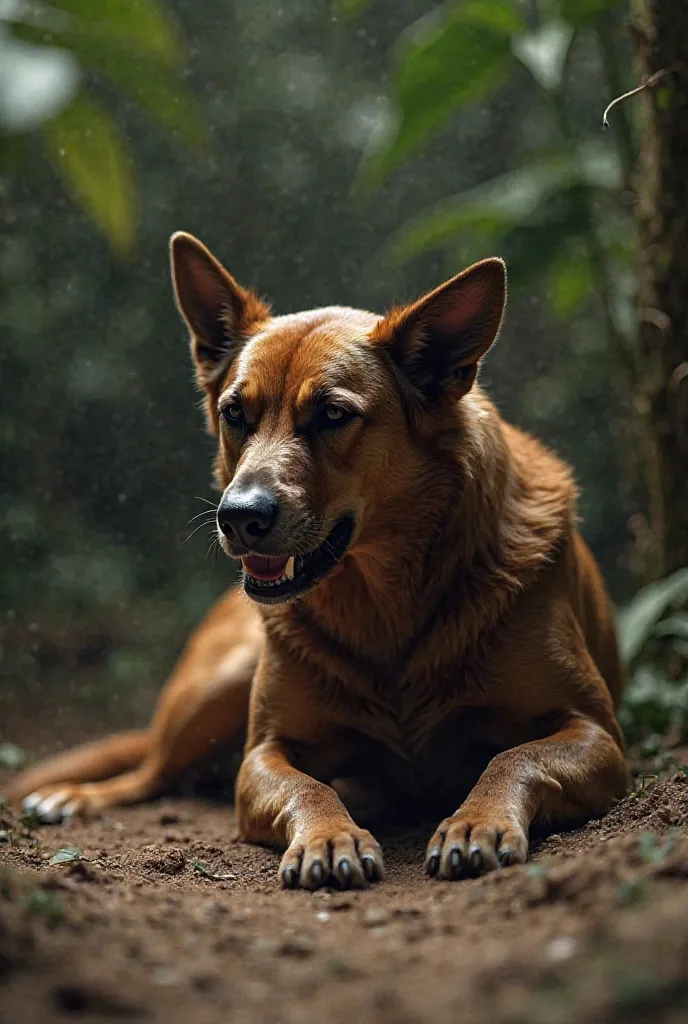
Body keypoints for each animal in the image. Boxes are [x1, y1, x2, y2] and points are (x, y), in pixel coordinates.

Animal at [5, 232, 630, 888]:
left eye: (333, 414)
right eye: (234, 413)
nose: (238, 516)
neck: (385, 601)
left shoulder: (598, 734)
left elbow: (514, 756)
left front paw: (474, 819)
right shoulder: (264, 752)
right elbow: (306, 787)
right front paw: (331, 836)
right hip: (218, 685)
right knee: (149, 772)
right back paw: (77, 797)